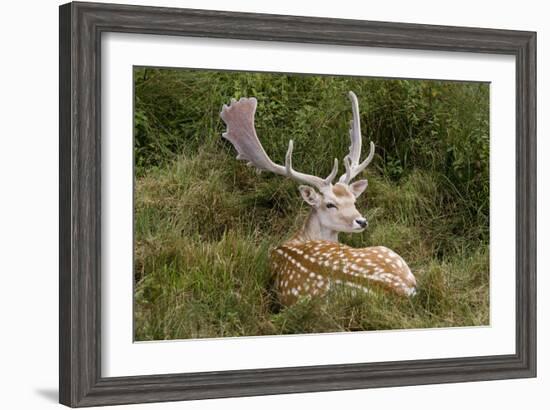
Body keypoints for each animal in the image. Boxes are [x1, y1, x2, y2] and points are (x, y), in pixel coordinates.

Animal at [221, 91, 418, 306]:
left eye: (354, 200)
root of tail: (400, 289)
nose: (362, 221)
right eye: (330, 204)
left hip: (388, 253)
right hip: (387, 252)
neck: (297, 239)